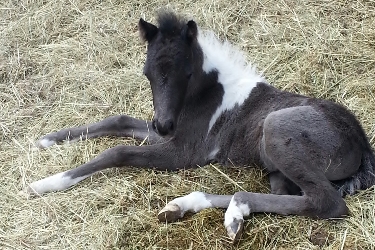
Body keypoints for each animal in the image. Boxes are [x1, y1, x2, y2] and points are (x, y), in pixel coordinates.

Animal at [25, 11, 374, 242]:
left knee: (326, 202)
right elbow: (119, 120)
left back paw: (230, 210)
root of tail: (362, 144)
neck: (208, 93)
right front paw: (50, 139)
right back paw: (189, 206)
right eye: (147, 73)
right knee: (288, 197)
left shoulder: (184, 150)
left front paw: (46, 183)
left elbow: (119, 151)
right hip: (275, 165)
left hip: (276, 128)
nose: (164, 124)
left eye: (187, 72)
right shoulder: (170, 135)